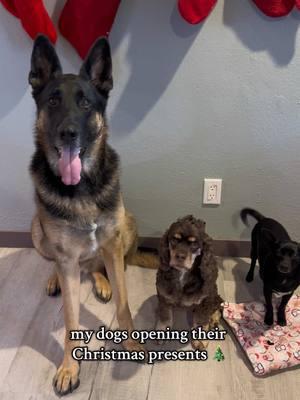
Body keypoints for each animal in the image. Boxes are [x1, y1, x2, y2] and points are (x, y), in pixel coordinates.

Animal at [28, 36, 152, 396]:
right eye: (53, 101)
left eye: (85, 103)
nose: (68, 133)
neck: (81, 188)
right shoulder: (66, 257)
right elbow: (70, 321)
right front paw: (70, 367)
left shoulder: (112, 243)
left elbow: (124, 305)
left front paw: (131, 345)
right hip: (37, 231)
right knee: (58, 263)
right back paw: (56, 279)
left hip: (128, 225)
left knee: (98, 266)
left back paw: (101, 281)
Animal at [156, 214, 221, 348]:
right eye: (174, 240)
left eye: (194, 244)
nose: (180, 256)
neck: (182, 274)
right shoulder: (163, 291)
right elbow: (164, 313)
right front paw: (163, 329)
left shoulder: (206, 298)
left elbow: (201, 319)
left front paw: (200, 338)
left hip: (214, 292)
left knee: (217, 303)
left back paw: (214, 319)